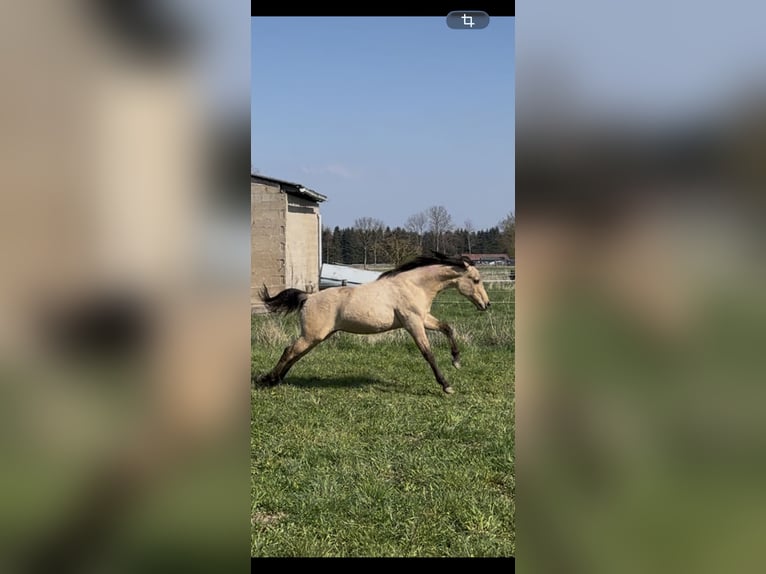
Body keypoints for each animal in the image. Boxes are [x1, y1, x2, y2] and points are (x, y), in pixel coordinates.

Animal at [253, 251, 491, 394]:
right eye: (476, 280)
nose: (486, 304)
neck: (414, 285)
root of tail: (307, 297)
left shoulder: (424, 319)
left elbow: (447, 328)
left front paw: (456, 360)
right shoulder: (413, 323)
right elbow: (428, 353)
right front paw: (447, 386)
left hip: (317, 337)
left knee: (295, 354)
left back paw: (276, 380)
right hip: (313, 335)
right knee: (289, 351)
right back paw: (267, 380)